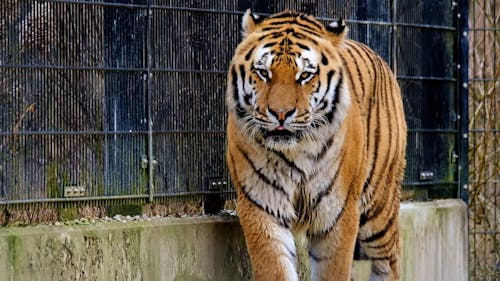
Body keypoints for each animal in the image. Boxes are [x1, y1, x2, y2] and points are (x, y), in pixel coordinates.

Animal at [226, 9, 406, 280]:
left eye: (305, 76)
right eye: (264, 73)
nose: (280, 113)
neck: (295, 151)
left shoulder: (338, 213)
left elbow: (334, 270)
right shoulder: (262, 205)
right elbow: (275, 267)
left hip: (380, 205)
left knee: (389, 261)